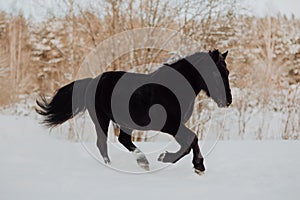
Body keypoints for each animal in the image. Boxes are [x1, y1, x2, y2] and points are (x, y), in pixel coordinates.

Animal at [35, 49, 232, 174]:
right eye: (215, 73)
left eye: (227, 72)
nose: (228, 100)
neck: (174, 88)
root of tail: (92, 81)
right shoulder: (170, 125)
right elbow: (191, 139)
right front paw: (180, 161)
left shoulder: (175, 125)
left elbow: (190, 141)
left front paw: (197, 166)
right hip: (101, 118)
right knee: (102, 143)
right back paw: (118, 166)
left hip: (125, 122)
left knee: (123, 139)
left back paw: (143, 163)